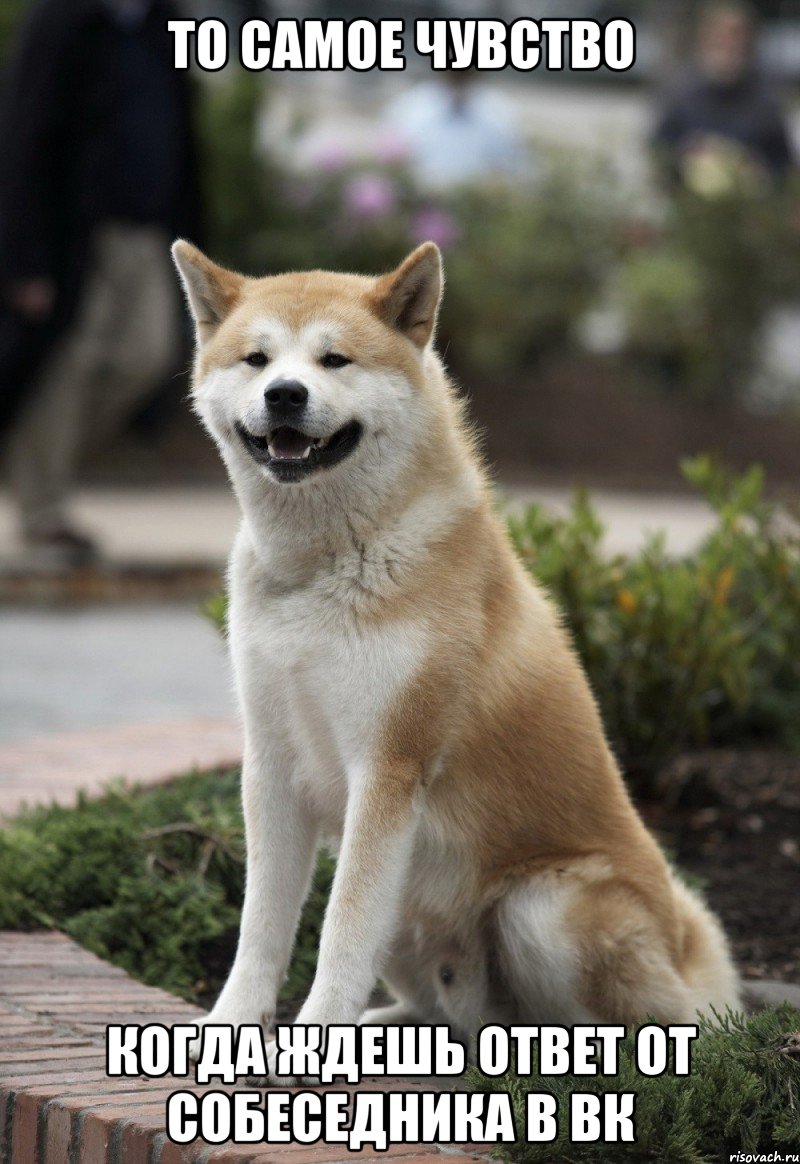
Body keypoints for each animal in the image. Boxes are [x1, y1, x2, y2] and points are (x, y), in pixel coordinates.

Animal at [172, 238, 740, 1080]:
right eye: (257, 359)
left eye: (334, 360)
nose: (284, 395)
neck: (324, 563)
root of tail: (683, 948)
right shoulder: (272, 764)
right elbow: (261, 927)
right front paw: (232, 1028)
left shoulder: (389, 768)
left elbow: (338, 929)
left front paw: (314, 1043)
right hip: (416, 922)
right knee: (455, 1020)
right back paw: (400, 1031)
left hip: (543, 909)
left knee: (610, 1030)